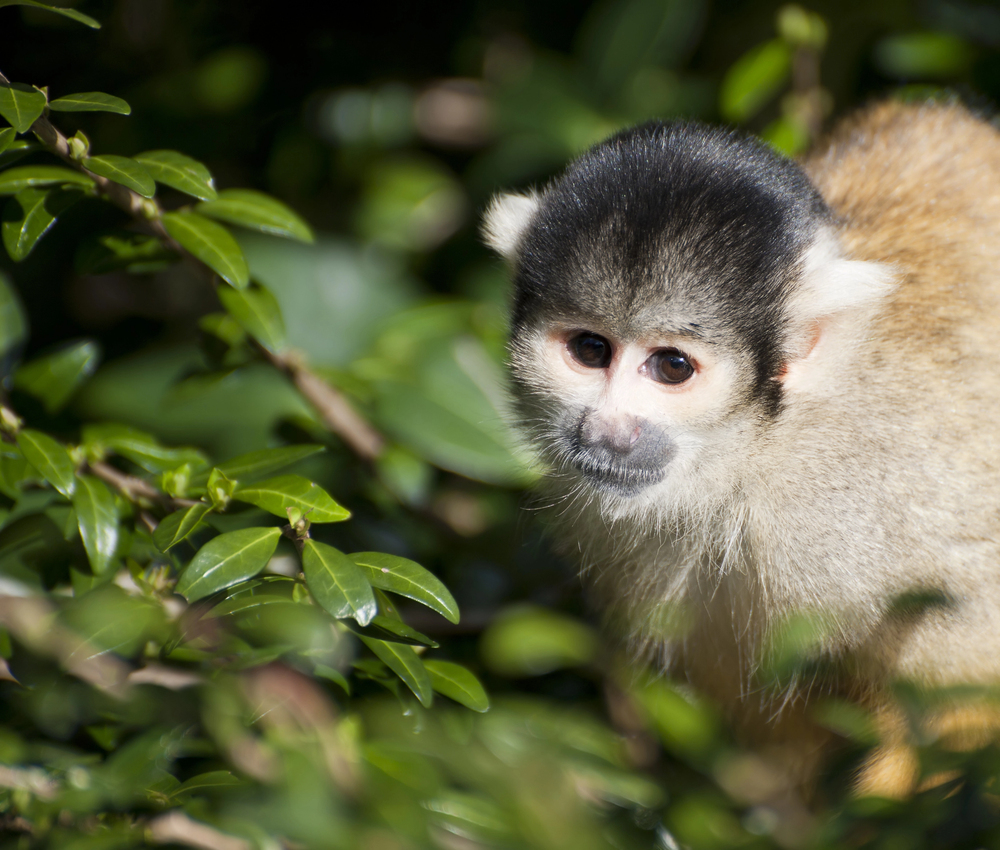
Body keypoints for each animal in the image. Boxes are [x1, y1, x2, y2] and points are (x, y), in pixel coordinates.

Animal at [483, 100, 1000, 794]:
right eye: (590, 350)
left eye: (672, 366)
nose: (607, 432)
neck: (753, 457)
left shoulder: (859, 513)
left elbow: (965, 682)